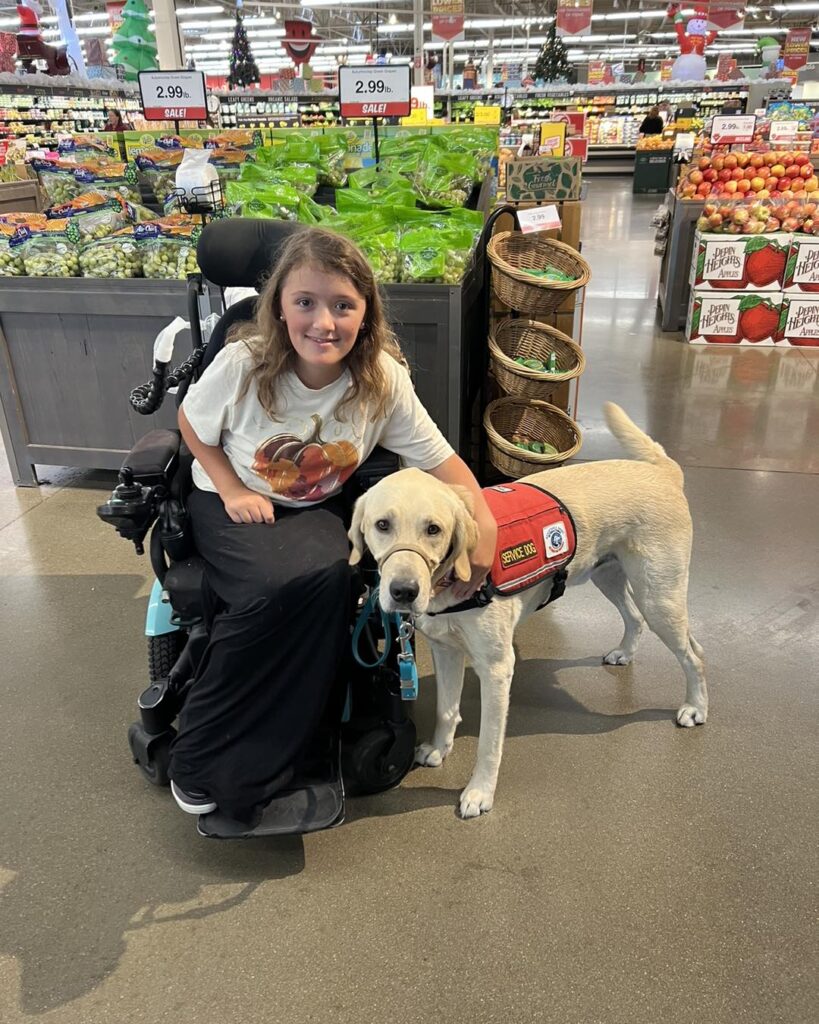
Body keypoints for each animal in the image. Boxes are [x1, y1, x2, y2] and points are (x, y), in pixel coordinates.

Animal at [348, 404, 707, 819]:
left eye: (433, 529)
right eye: (382, 525)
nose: (404, 591)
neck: (453, 577)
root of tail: (665, 472)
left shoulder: (496, 668)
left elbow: (489, 744)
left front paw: (479, 793)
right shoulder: (446, 651)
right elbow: (445, 709)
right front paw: (439, 748)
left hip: (659, 598)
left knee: (695, 654)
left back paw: (695, 707)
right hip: (610, 576)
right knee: (634, 618)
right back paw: (624, 652)